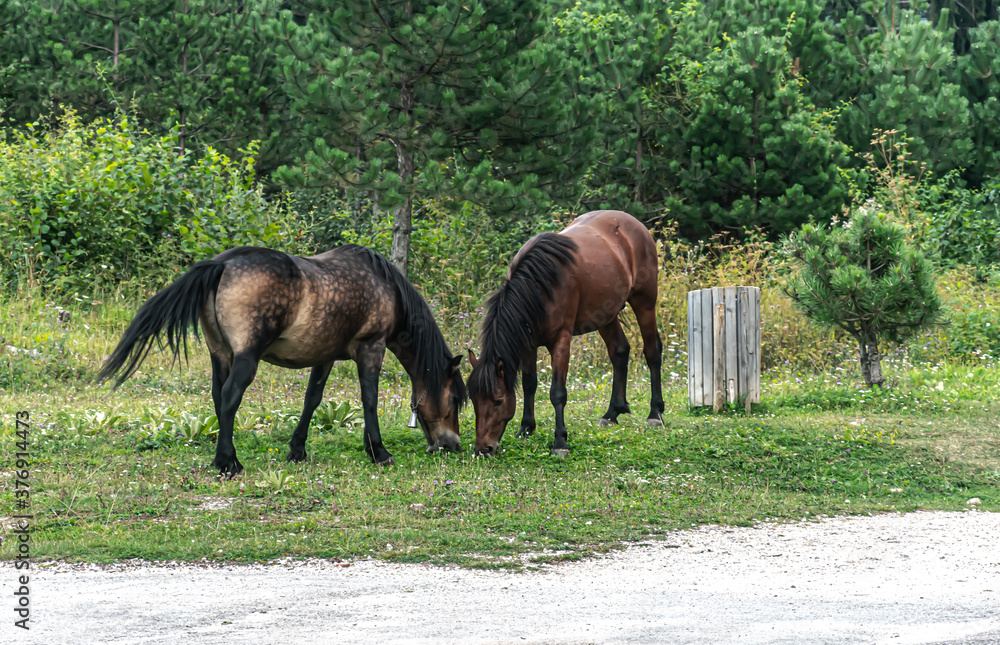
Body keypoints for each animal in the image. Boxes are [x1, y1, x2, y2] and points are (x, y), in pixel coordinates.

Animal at [98, 245, 466, 476]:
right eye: (454, 399)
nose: (452, 445)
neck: (386, 287)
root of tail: (222, 265)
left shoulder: (324, 356)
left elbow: (312, 400)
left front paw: (297, 451)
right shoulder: (371, 348)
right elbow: (370, 400)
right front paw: (378, 451)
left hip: (221, 354)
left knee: (218, 397)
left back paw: (227, 456)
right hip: (246, 358)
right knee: (230, 397)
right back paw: (228, 463)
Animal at [467, 210, 663, 457]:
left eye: (498, 401)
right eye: (473, 399)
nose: (483, 449)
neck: (539, 286)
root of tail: (635, 224)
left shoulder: (561, 341)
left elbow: (557, 392)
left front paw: (560, 441)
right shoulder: (528, 344)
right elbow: (529, 384)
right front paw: (526, 428)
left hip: (645, 302)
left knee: (652, 351)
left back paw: (655, 413)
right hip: (605, 315)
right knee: (619, 351)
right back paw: (612, 413)